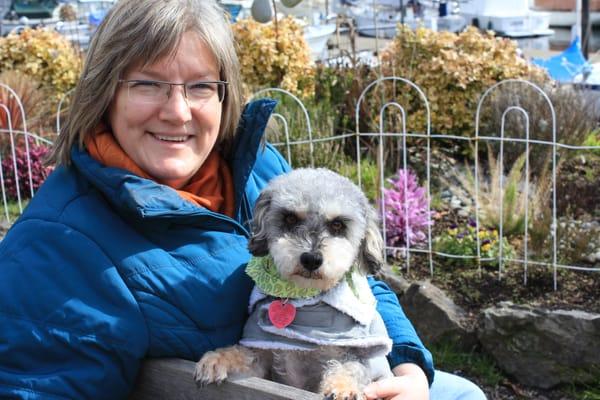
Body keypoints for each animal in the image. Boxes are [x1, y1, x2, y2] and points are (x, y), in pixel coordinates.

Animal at [195, 167, 394, 398]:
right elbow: (243, 354)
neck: (304, 301)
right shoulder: (263, 357)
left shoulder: (352, 353)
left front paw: (343, 388)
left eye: (337, 224)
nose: (311, 259)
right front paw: (217, 359)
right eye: (290, 218)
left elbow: (351, 368)